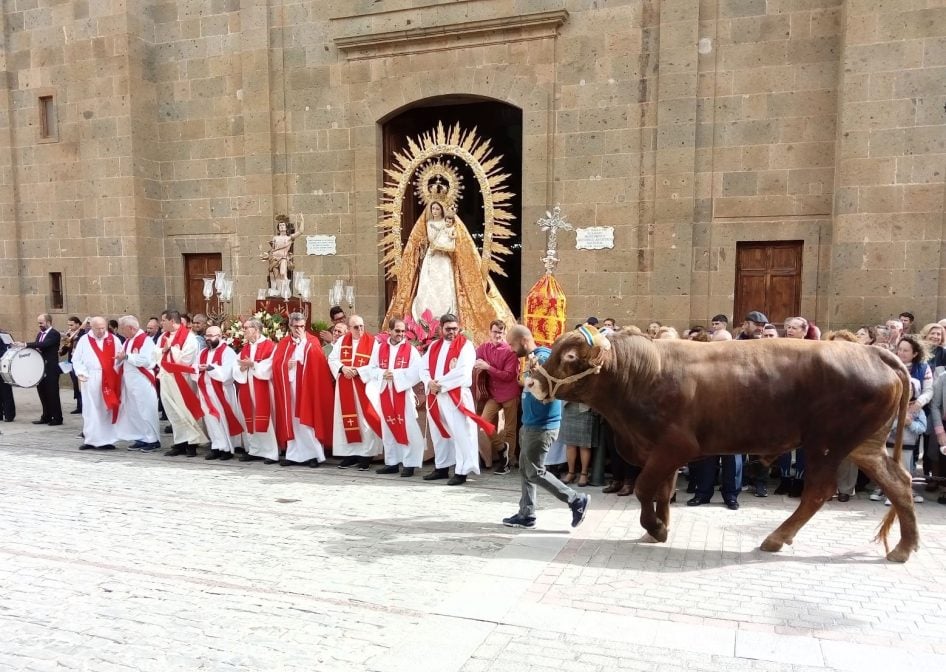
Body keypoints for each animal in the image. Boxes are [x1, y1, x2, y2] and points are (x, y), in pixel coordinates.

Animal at [524, 330, 916, 560]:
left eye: (569, 357)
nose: (531, 382)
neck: (640, 373)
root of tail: (874, 353)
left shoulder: (675, 446)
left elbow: (645, 488)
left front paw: (655, 527)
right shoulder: (659, 451)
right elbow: (662, 490)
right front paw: (660, 528)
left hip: (825, 444)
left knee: (819, 491)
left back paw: (776, 538)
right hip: (864, 444)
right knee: (899, 484)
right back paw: (903, 547)